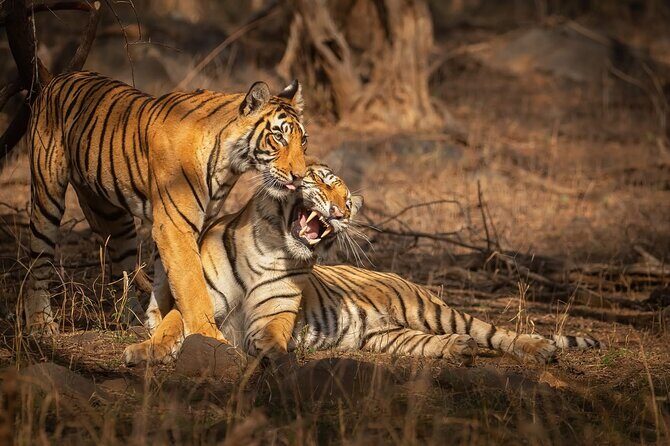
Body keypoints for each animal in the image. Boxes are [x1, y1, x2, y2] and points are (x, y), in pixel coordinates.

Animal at [24, 70, 308, 342]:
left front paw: (157, 322)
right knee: (39, 261)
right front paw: (207, 334)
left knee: (121, 270)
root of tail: (58, 78)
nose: (300, 176)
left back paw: (132, 320)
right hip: (47, 194)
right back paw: (41, 323)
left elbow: (165, 280)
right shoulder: (175, 225)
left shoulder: (186, 224)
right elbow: (191, 283)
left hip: (114, 217)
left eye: (303, 140)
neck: (230, 163)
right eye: (278, 137)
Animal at [123, 163, 599, 366]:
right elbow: (172, 323)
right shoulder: (202, 297)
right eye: (320, 182)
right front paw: (145, 351)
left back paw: (538, 349)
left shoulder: (275, 311)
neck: (269, 246)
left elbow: (271, 333)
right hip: (391, 338)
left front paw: (273, 353)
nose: (341, 211)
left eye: (348, 201)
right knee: (438, 343)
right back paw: (458, 350)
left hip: (435, 311)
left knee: (495, 333)